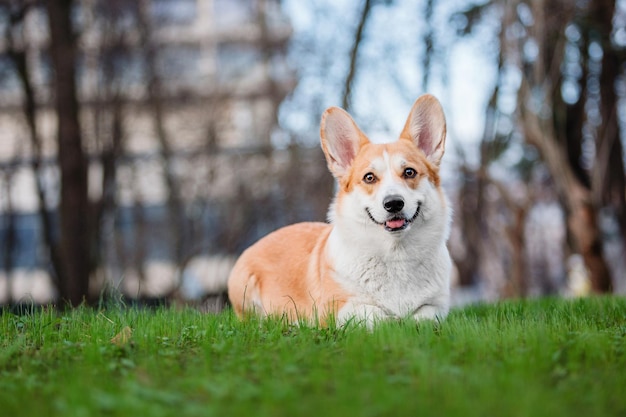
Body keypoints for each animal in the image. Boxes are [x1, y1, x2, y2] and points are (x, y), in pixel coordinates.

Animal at [227, 95, 450, 328]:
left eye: (409, 172)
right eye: (369, 177)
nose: (394, 203)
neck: (395, 253)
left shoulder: (438, 307)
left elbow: (423, 317)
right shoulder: (338, 309)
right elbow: (378, 316)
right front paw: (394, 321)